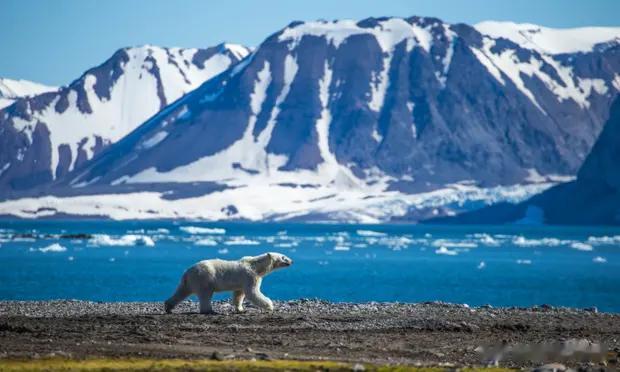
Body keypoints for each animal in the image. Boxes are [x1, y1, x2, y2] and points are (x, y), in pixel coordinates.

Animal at [163, 253, 292, 314]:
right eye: (283, 257)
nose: (291, 261)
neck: (256, 266)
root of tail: (187, 271)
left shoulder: (242, 281)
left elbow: (239, 294)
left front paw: (240, 309)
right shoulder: (250, 276)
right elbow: (253, 292)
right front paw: (270, 306)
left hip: (189, 281)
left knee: (181, 291)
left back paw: (168, 307)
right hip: (205, 278)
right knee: (205, 294)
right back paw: (209, 310)